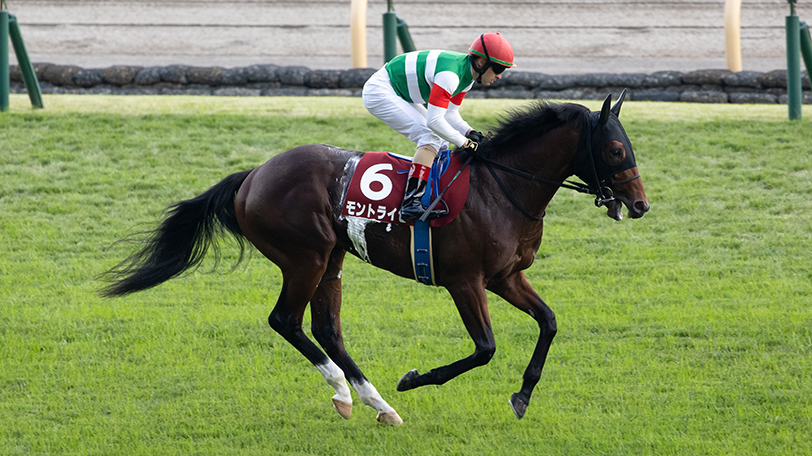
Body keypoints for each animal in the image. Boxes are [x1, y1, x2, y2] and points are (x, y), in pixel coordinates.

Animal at [102, 92, 649, 425]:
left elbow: (549, 322)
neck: (502, 188)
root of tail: (253, 175)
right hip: (305, 256)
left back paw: (374, 402)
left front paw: (522, 395)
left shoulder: (506, 277)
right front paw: (413, 379)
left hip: (332, 260)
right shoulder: (465, 281)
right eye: (616, 150)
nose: (641, 205)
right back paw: (350, 393)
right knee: (285, 320)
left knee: (326, 329)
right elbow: (484, 349)